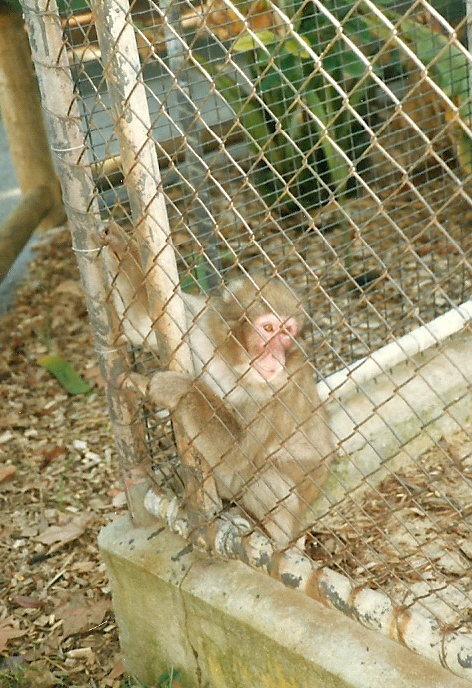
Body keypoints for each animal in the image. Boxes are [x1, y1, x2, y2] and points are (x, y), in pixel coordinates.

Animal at [104, 225, 335, 548]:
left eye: (287, 332)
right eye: (268, 328)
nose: (275, 355)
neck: (237, 365)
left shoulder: (281, 389)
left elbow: (238, 458)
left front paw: (180, 389)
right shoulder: (201, 326)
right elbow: (141, 323)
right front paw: (119, 242)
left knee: (265, 476)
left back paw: (268, 535)